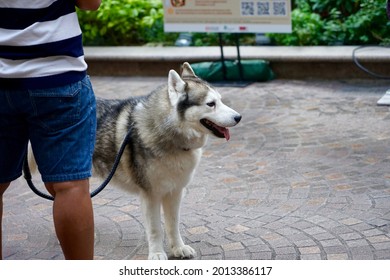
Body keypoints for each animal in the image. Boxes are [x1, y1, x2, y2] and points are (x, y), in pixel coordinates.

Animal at [96, 63, 241, 260]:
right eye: (211, 104)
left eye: (220, 100)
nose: (239, 117)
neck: (169, 136)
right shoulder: (150, 195)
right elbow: (156, 229)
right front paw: (157, 253)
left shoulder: (175, 192)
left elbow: (173, 224)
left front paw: (178, 248)